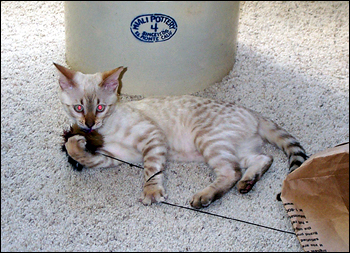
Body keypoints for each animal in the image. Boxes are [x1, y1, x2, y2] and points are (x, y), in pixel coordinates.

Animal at [53, 62, 308, 209]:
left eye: (100, 108)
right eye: (78, 108)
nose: (88, 125)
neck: (105, 130)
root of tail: (254, 113)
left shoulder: (152, 137)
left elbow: (151, 170)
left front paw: (151, 192)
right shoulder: (113, 157)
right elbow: (80, 154)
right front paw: (75, 141)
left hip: (208, 140)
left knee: (231, 171)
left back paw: (204, 197)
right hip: (237, 149)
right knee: (263, 159)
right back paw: (248, 182)